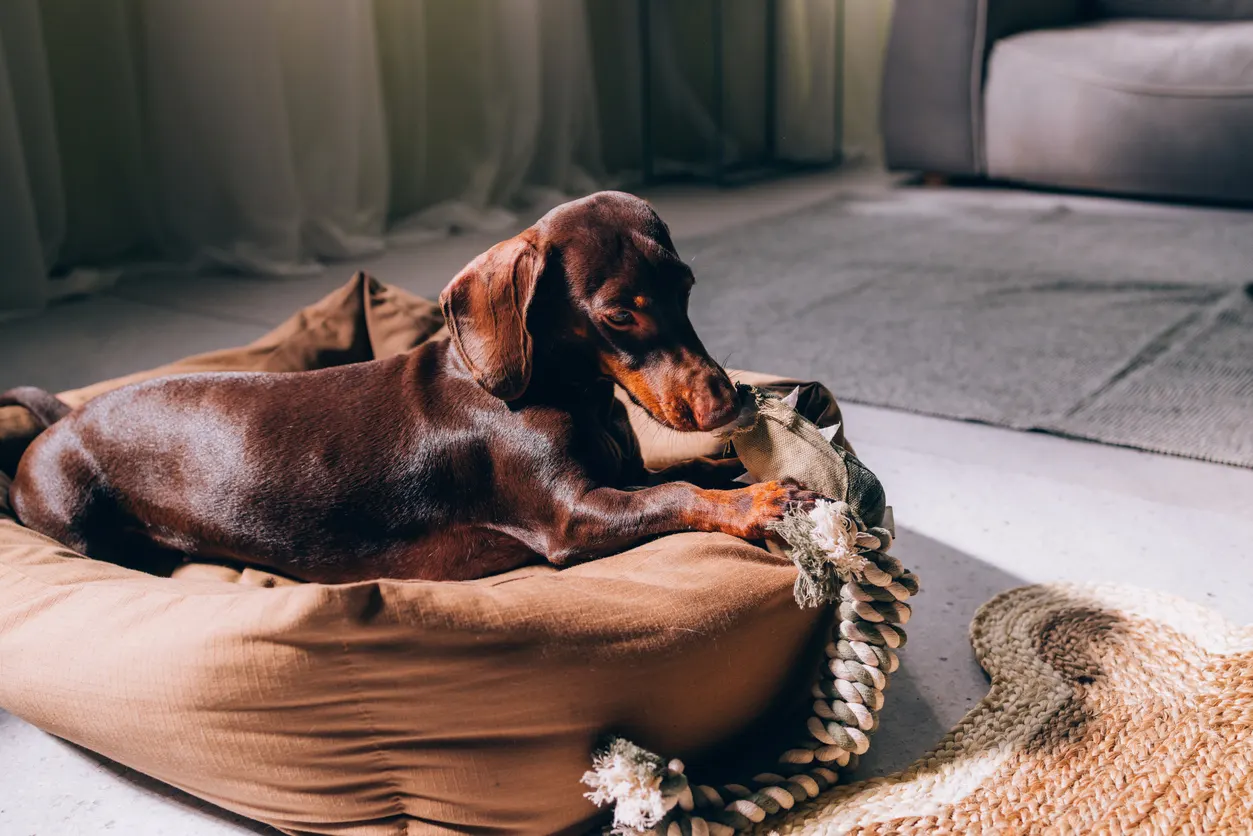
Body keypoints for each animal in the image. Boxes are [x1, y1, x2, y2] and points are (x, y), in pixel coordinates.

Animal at [4, 191, 821, 581]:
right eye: (620, 314)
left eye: (686, 287)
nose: (729, 401)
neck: (564, 393)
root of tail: (59, 422)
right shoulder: (573, 516)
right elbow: (675, 495)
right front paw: (757, 501)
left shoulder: (620, 474)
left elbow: (680, 475)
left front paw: (733, 471)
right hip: (76, 522)